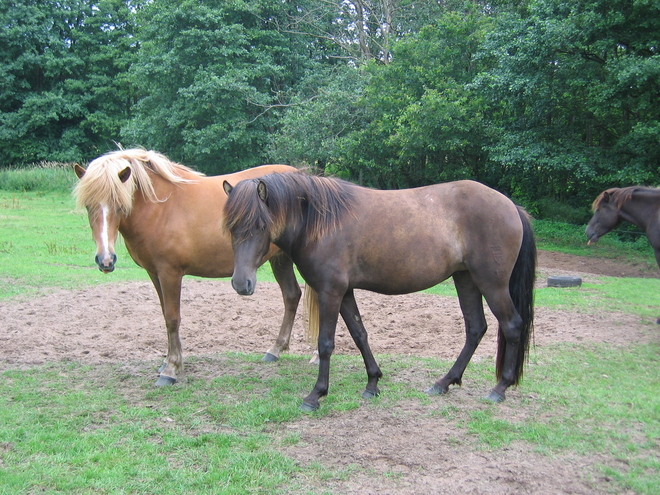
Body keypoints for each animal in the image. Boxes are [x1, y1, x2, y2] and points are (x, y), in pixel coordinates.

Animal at [73, 149, 306, 386]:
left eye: (120, 205)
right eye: (88, 206)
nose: (106, 260)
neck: (160, 208)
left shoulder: (170, 274)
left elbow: (172, 318)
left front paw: (171, 369)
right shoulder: (155, 273)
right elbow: (165, 314)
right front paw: (168, 362)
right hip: (280, 259)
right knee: (291, 295)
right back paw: (275, 349)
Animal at [222, 172, 536, 412]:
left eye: (261, 224)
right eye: (231, 227)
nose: (241, 283)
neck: (321, 222)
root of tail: (511, 206)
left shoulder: (330, 292)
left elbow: (326, 344)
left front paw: (316, 395)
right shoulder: (345, 292)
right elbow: (360, 335)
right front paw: (372, 383)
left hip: (491, 283)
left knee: (511, 325)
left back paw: (500, 387)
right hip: (466, 279)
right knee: (475, 328)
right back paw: (443, 383)